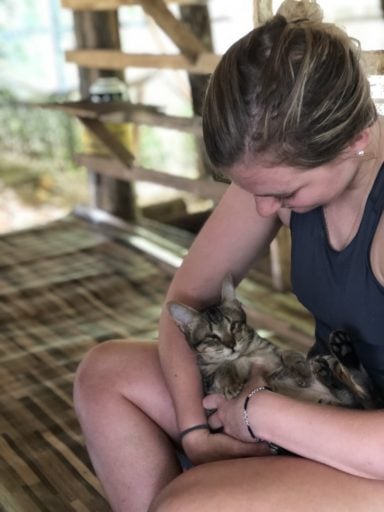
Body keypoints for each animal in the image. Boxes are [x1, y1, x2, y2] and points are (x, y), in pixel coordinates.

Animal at [167, 274, 378, 410]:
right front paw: (230, 382)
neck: (247, 354)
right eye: (212, 337)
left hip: (332, 364)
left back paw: (342, 354)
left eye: (234, 326)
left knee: (368, 394)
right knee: (359, 399)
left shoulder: (274, 351)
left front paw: (301, 371)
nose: (231, 345)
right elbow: (223, 368)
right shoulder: (209, 384)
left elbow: (289, 353)